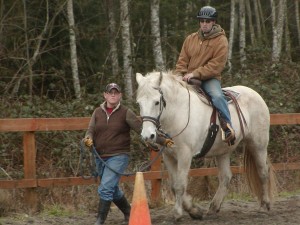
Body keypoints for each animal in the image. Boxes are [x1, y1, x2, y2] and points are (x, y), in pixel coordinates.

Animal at [136, 71, 276, 221]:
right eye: (139, 103)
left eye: (157, 102)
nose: (147, 135)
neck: (178, 113)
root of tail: (255, 94)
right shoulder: (168, 155)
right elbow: (174, 186)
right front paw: (194, 210)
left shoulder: (185, 154)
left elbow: (180, 185)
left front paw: (179, 213)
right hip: (223, 151)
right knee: (226, 177)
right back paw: (214, 207)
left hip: (259, 145)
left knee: (262, 172)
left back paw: (264, 206)